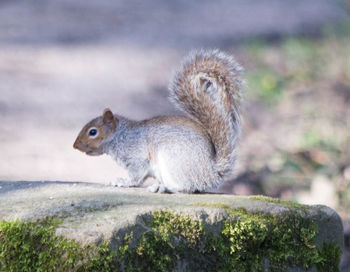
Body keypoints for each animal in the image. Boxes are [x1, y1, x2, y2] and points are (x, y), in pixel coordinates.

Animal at [73, 49, 243, 193]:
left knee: (185, 187)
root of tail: (210, 173)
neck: (120, 136)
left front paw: (123, 181)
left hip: (173, 162)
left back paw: (163, 188)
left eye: (93, 132)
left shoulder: (136, 156)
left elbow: (136, 175)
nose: (75, 146)